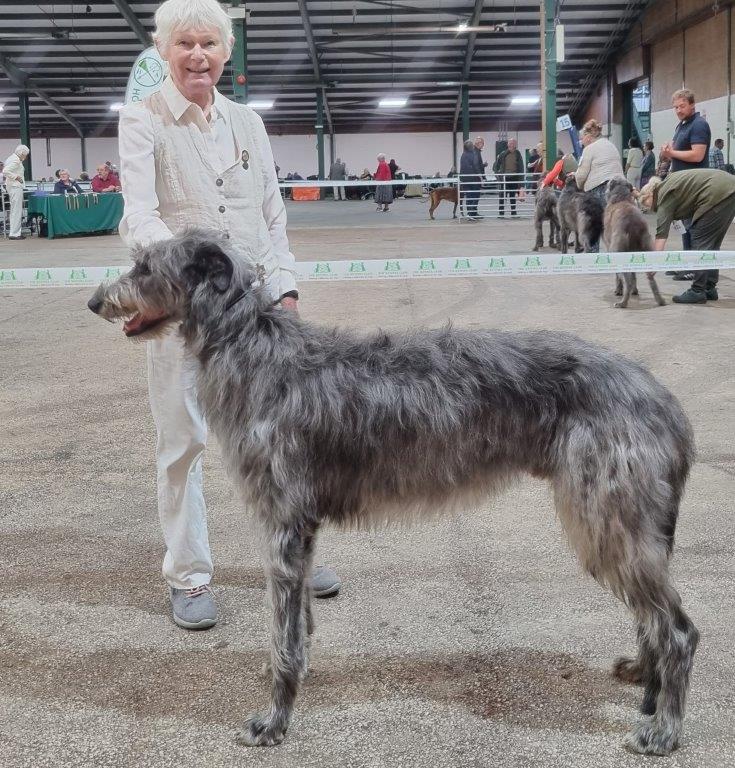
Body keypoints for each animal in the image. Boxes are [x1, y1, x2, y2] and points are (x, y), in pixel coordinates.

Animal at [87, 230, 700, 756]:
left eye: (145, 267)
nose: (95, 301)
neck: (253, 349)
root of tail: (666, 401)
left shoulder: (284, 524)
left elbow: (281, 634)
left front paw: (274, 719)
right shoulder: (300, 529)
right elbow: (298, 625)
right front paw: (297, 674)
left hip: (605, 517)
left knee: (679, 631)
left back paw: (664, 729)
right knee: (654, 619)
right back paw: (645, 683)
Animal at [604, 177, 668, 308]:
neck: (621, 198)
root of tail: (634, 222)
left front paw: (618, 290)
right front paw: (635, 290)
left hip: (618, 249)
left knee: (627, 280)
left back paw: (623, 302)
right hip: (647, 245)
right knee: (651, 278)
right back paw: (660, 300)